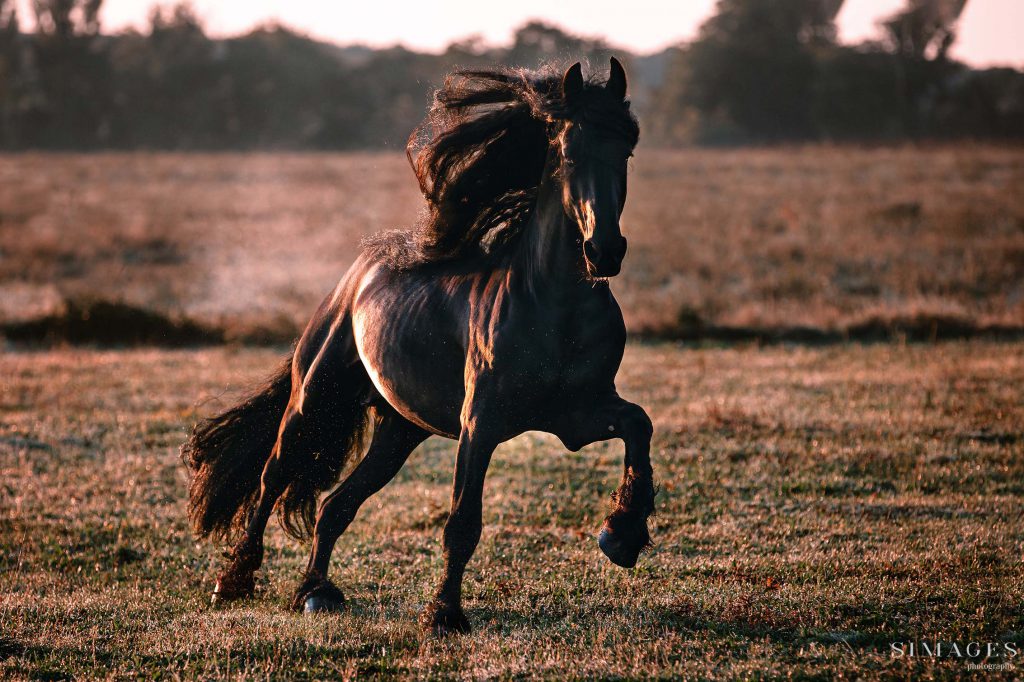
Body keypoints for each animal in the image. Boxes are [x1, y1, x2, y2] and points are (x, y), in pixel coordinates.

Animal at [184, 57, 659, 630]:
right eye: (568, 152)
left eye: (626, 150)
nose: (604, 251)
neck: (553, 305)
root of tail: (356, 275)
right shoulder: (481, 422)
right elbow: (463, 521)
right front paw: (445, 614)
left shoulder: (576, 413)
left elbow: (639, 423)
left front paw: (622, 535)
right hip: (313, 402)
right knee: (272, 476)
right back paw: (234, 580)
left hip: (398, 431)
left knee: (335, 506)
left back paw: (315, 591)